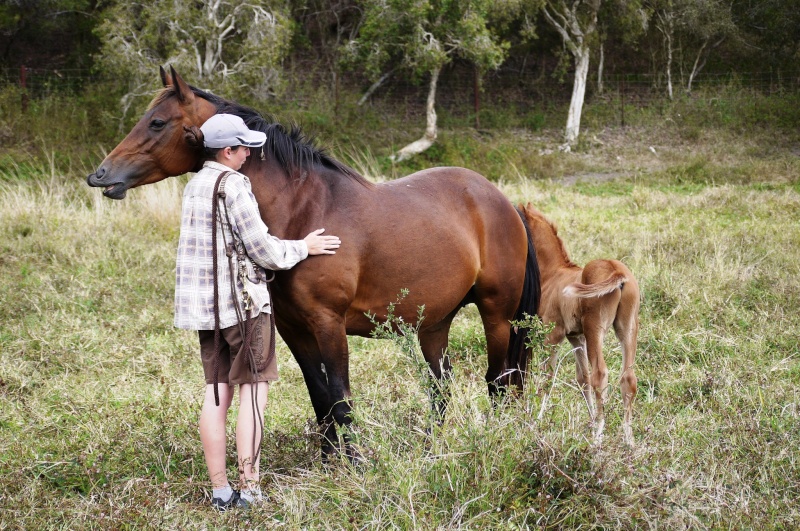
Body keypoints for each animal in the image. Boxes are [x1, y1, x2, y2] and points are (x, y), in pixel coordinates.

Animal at [86, 65, 544, 458]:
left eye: (157, 122)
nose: (100, 175)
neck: (304, 211)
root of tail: (504, 203)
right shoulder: (294, 329)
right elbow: (320, 396)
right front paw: (329, 460)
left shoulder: (328, 323)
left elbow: (340, 396)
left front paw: (354, 464)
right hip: (434, 322)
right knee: (441, 387)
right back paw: (434, 449)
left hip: (496, 315)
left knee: (499, 380)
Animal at [520, 203, 644, 444]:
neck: (554, 273)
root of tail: (616, 269)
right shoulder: (576, 337)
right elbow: (582, 378)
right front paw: (590, 420)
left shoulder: (554, 334)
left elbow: (548, 378)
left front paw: (536, 422)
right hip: (627, 328)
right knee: (628, 378)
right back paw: (629, 441)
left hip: (595, 328)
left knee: (601, 374)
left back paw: (598, 437)